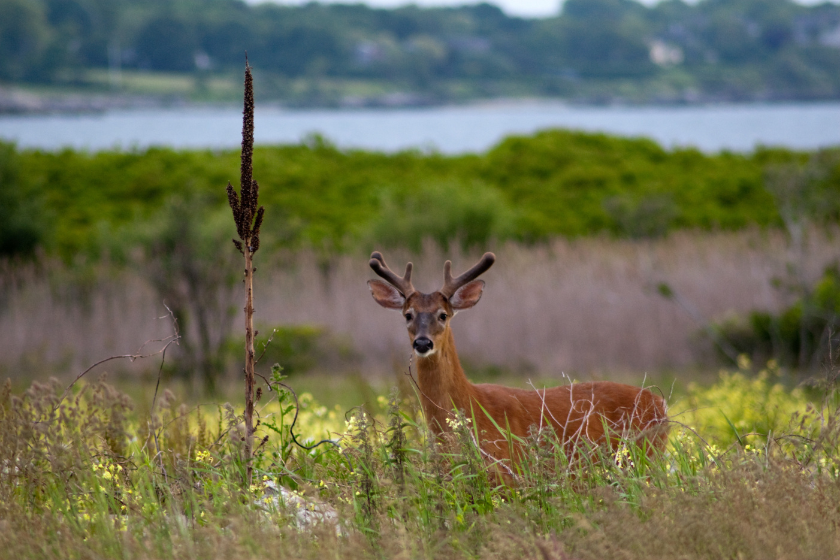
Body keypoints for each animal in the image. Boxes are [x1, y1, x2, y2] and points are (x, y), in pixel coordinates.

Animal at [368, 252, 668, 480]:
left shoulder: (508, 475)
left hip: (645, 458)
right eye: (408, 315)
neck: (471, 406)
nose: (422, 342)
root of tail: (661, 404)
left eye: (443, 315)